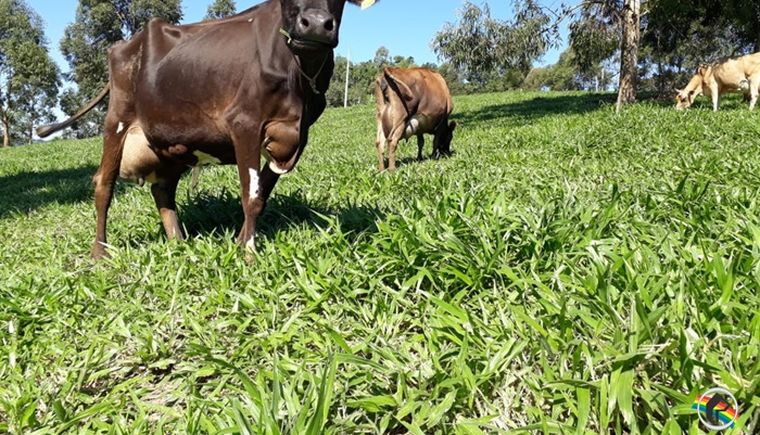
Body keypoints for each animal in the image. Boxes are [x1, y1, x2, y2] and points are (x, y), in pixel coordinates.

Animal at [38, 0, 378, 258]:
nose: (317, 24)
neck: (299, 73)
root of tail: (128, 41)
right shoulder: (245, 124)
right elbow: (251, 194)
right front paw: (249, 254)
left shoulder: (299, 133)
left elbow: (262, 193)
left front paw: (241, 242)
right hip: (117, 119)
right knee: (103, 184)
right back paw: (100, 253)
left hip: (171, 140)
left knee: (162, 190)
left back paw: (178, 243)